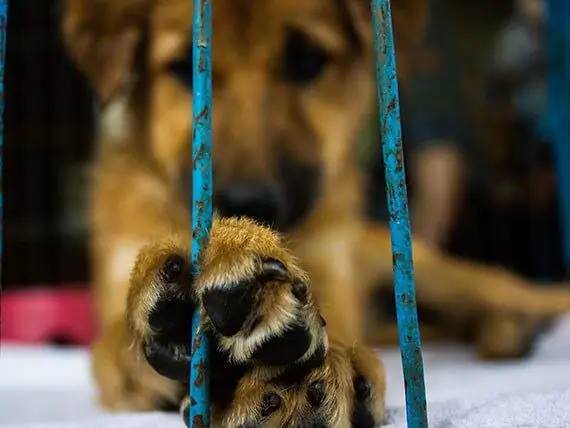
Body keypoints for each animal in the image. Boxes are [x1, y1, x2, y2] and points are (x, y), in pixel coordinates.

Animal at [58, 0, 570, 424]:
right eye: (184, 68)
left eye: (307, 61)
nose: (250, 204)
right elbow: (111, 342)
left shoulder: (336, 281)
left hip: (434, 275)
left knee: (511, 295)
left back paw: (518, 324)